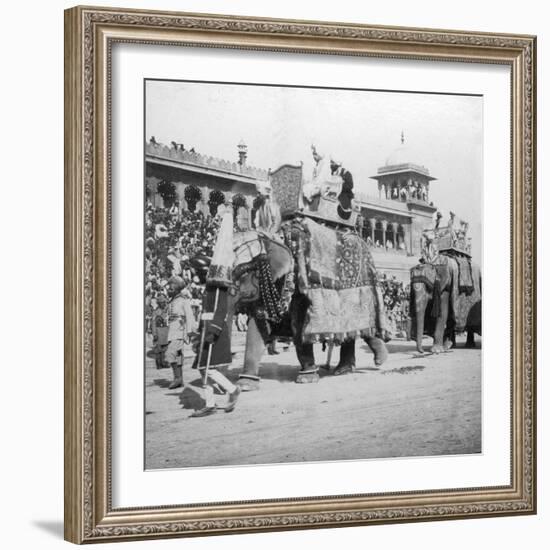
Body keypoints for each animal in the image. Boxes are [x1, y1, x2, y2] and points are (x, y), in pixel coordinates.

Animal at [229, 216, 392, 392]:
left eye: (243, 271)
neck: (275, 237)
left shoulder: (299, 284)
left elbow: (299, 327)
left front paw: (306, 378)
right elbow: (258, 325)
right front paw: (245, 384)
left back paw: (378, 359)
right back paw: (345, 369)